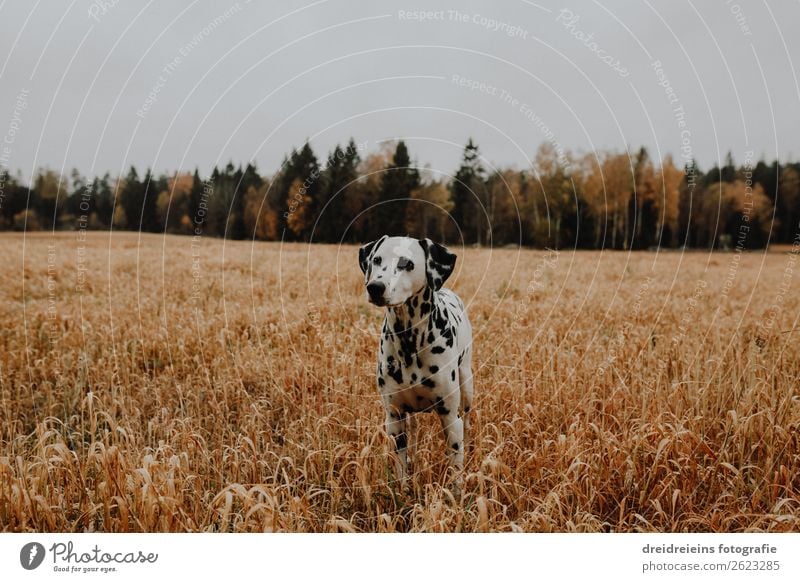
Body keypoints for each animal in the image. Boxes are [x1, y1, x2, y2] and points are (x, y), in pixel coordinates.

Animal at [358, 237, 476, 488]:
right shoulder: (394, 417)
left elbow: (455, 468)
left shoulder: (450, 418)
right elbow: (401, 466)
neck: (409, 342)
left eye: (407, 264)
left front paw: (457, 493)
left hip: (467, 386)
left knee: (469, 423)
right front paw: (403, 489)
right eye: (377, 259)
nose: (375, 287)